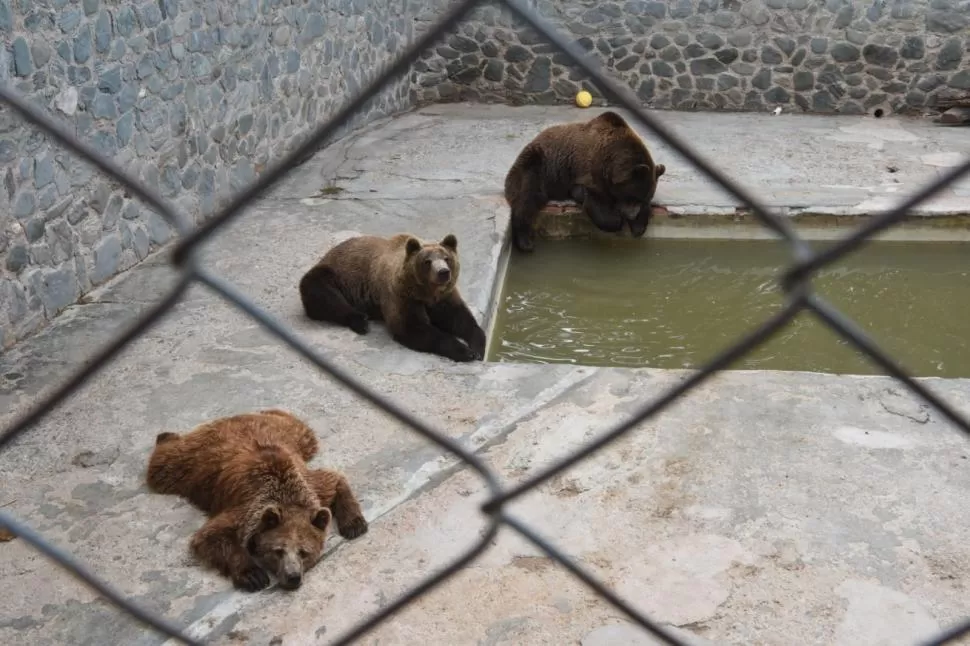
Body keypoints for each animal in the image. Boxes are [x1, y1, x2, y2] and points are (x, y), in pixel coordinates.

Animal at [144, 412, 366, 596]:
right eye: (278, 551)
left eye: (304, 552)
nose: (293, 576)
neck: (285, 494)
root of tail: (237, 416)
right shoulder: (245, 509)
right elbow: (212, 535)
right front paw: (253, 575)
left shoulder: (311, 487)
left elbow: (332, 480)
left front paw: (354, 524)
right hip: (193, 462)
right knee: (165, 464)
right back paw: (164, 435)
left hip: (288, 434)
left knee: (302, 431)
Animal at [298, 233, 488, 364]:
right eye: (427, 261)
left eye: (446, 258)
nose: (443, 272)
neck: (426, 292)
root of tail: (330, 251)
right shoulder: (401, 295)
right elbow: (412, 327)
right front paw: (465, 351)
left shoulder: (443, 297)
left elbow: (459, 318)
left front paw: (478, 347)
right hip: (336, 274)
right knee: (322, 292)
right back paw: (360, 321)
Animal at [502, 110, 660, 252]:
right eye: (633, 196)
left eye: (643, 197)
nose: (631, 215)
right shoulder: (590, 171)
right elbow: (596, 202)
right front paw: (616, 219)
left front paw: (639, 225)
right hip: (538, 164)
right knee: (528, 196)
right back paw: (525, 241)